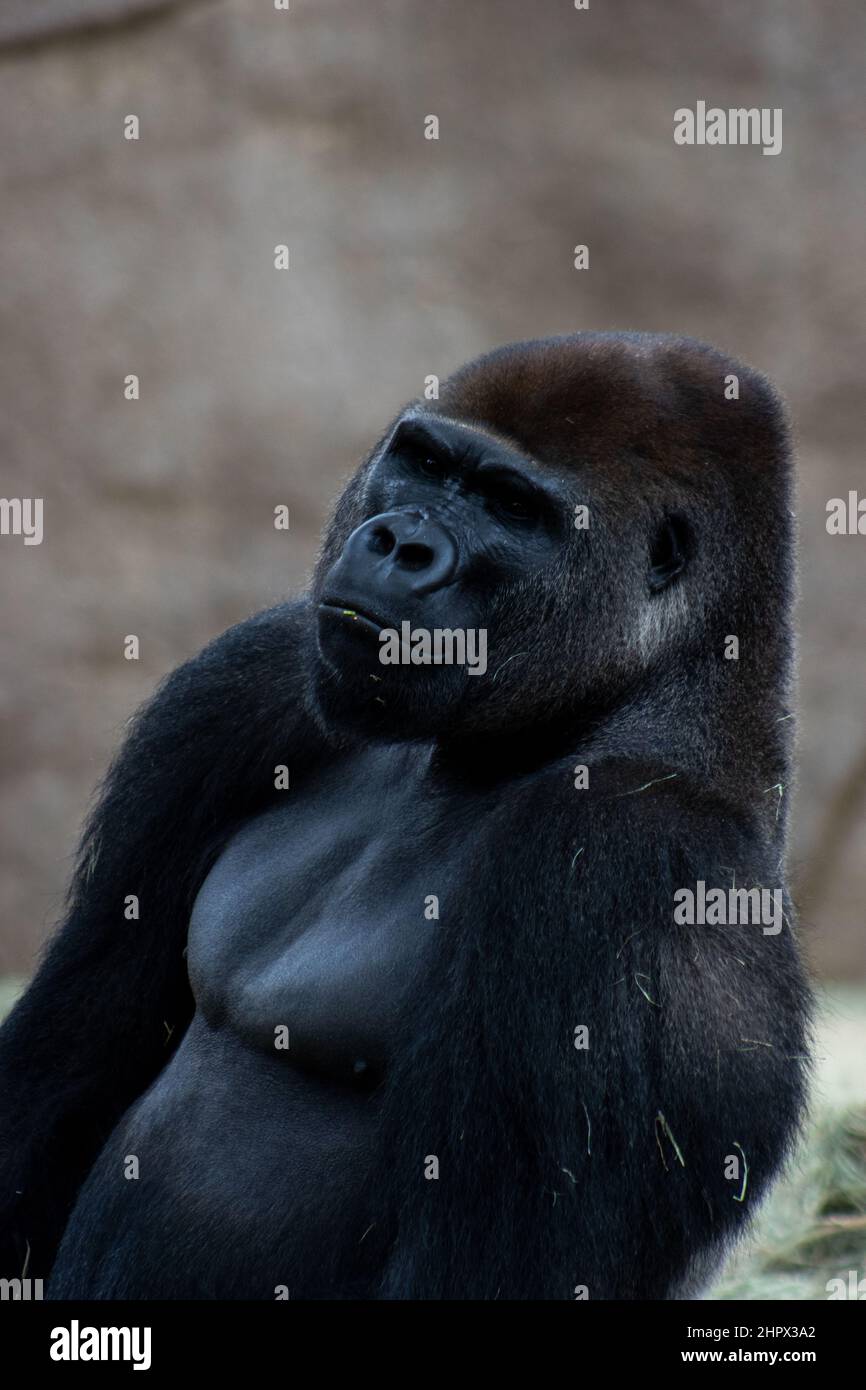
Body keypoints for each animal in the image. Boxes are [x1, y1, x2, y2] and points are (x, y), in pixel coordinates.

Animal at [0, 330, 811, 1295]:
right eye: (424, 463)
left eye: (511, 506)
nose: (398, 544)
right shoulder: (247, 685)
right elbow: (63, 1063)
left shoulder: (627, 861)